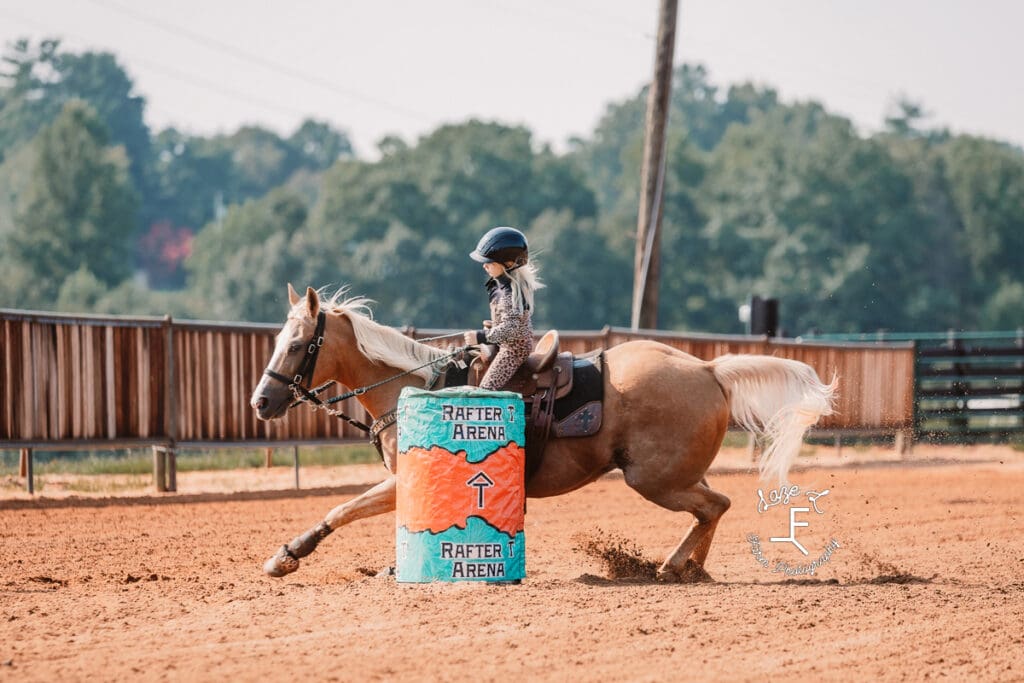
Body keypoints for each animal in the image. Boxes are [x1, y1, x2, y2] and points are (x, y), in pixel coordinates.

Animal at [251, 284, 835, 581]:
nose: (262, 402)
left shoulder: (405, 480)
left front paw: (286, 555)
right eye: (278, 339)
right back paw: (689, 567)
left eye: (299, 343)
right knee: (711, 508)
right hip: (673, 475)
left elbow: (342, 508)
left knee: (715, 506)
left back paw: (673, 567)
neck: (413, 385)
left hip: (654, 479)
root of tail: (709, 369)